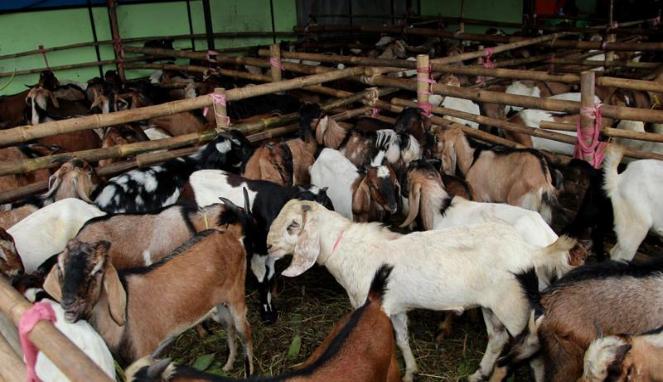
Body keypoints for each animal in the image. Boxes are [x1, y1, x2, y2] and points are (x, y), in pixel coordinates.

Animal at [42, 227, 254, 374]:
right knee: (229, 328)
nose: (69, 303)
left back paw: (248, 372)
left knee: (245, 331)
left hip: (236, 296)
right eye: (60, 268)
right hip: (219, 303)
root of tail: (229, 236)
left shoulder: (144, 354)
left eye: (97, 270)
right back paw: (227, 366)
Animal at [268, 200, 580, 382]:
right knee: (497, 338)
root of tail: (532, 251)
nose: (268, 246)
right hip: (493, 306)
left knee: (532, 350)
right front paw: (410, 371)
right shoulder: (392, 307)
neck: (344, 247)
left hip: (515, 307)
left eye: (293, 225)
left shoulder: (363, 303)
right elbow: (401, 339)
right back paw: (478, 373)